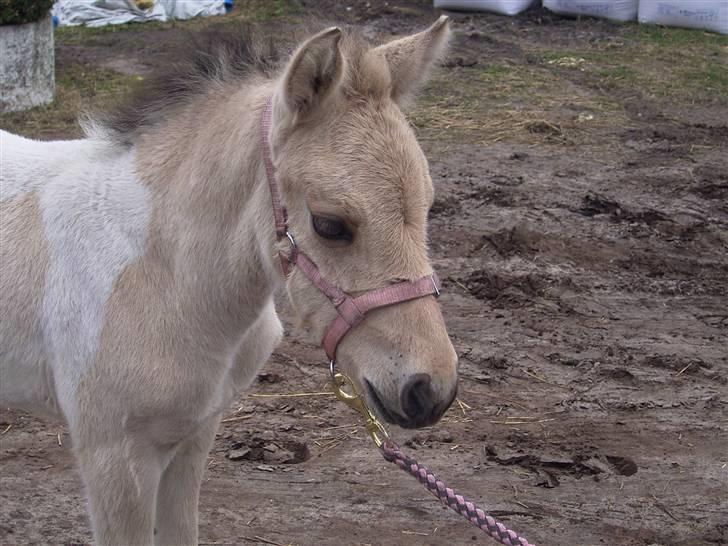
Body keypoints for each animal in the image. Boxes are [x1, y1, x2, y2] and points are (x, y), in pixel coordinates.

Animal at [0, 18, 456, 544]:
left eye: (427, 206)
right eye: (329, 224)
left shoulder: (194, 435)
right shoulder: (113, 456)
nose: (430, 391)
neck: (162, 276)